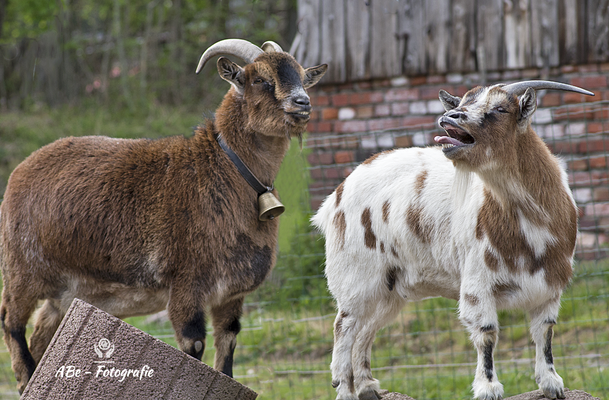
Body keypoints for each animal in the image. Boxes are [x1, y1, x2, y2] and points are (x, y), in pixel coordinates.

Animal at [0, 37, 328, 390]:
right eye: (260, 79)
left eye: (301, 76)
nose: (302, 103)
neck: (226, 170)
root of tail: (20, 170)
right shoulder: (186, 283)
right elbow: (193, 345)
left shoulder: (231, 294)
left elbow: (227, 346)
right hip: (21, 268)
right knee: (11, 321)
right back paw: (26, 376)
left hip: (68, 289)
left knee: (43, 327)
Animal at [314, 79, 592, 398]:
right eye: (461, 102)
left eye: (501, 108)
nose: (450, 117)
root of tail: (338, 193)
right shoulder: (477, 281)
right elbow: (486, 333)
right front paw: (488, 387)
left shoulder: (550, 286)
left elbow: (544, 332)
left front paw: (551, 383)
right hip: (356, 275)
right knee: (344, 326)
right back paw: (344, 389)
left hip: (389, 287)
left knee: (365, 331)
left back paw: (367, 386)